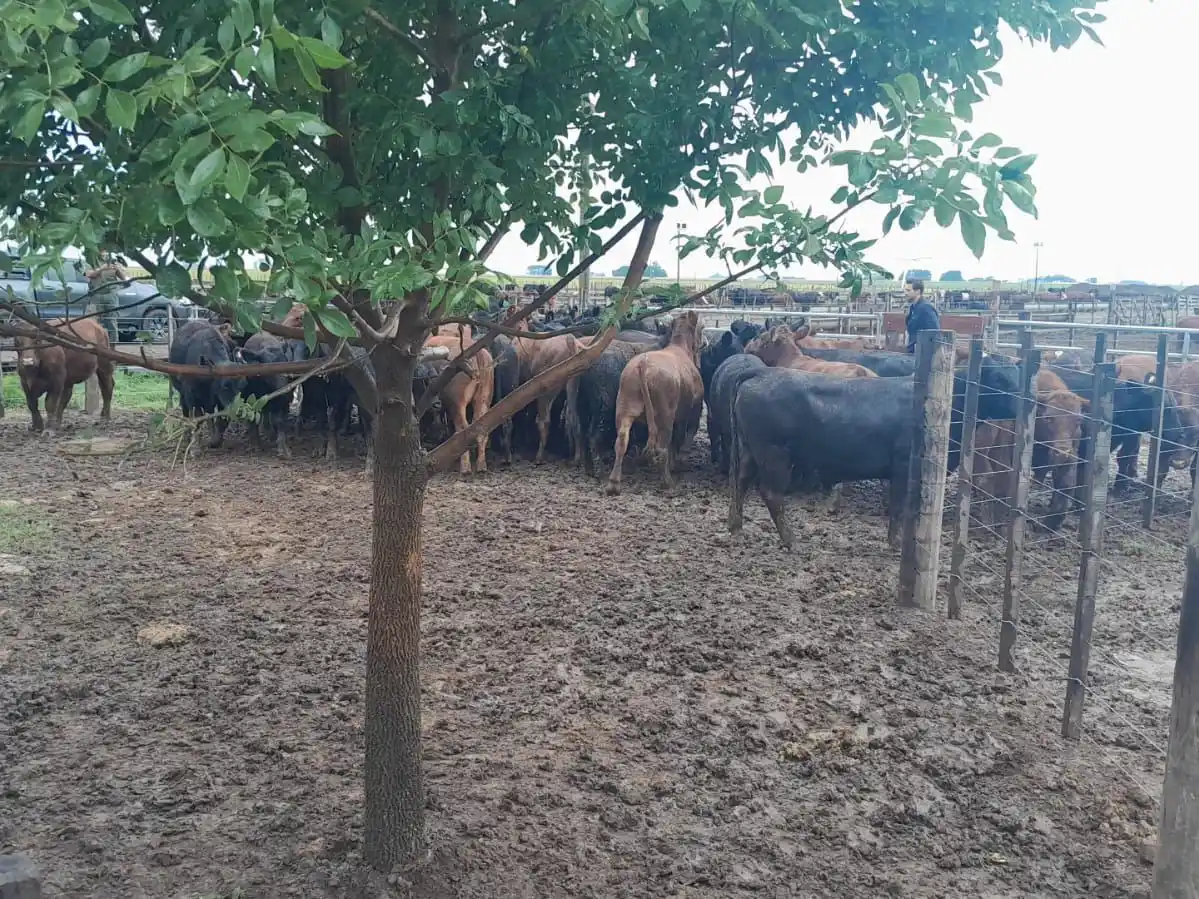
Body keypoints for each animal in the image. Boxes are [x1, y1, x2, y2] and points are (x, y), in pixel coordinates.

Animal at [168, 320, 246, 448]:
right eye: (225, 386)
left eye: (242, 385)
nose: (238, 409)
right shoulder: (191, 396)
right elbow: (198, 418)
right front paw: (196, 445)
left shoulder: (218, 399)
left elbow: (221, 420)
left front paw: (215, 441)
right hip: (182, 394)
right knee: (186, 412)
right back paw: (186, 436)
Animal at [606, 310, 705, 494]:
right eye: (702, 327)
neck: (681, 348)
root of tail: (642, 364)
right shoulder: (691, 411)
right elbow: (680, 439)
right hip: (665, 415)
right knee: (662, 447)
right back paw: (667, 483)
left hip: (624, 408)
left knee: (621, 440)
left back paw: (613, 484)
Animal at [727, 355, 1021, 548]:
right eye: (998, 379)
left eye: (1016, 376)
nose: (1024, 403)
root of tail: (762, 373)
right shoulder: (903, 467)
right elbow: (900, 507)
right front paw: (896, 542)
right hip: (774, 454)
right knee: (771, 494)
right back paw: (791, 540)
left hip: (750, 451)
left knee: (740, 483)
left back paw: (735, 527)